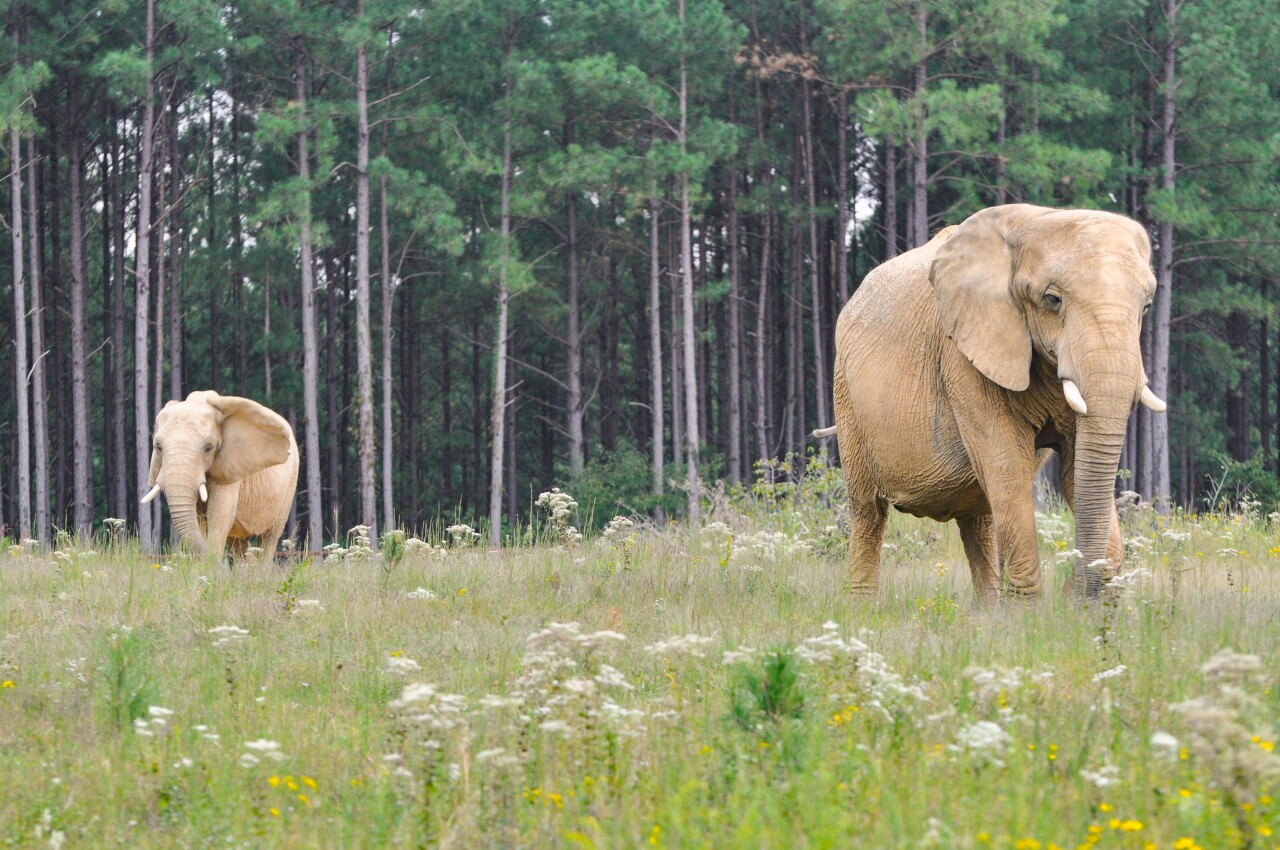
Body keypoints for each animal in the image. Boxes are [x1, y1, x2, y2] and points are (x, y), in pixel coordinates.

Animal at [142, 391, 299, 563]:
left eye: (208, 448)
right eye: (158, 447)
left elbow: (219, 515)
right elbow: (199, 518)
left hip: (290, 483)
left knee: (270, 536)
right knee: (239, 543)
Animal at [834, 204, 1167, 596]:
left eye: (1146, 307)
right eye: (1052, 300)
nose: (1072, 592)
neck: (1036, 219)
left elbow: (1075, 468)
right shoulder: (963, 353)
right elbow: (1006, 466)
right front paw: (1030, 610)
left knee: (978, 517)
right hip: (846, 393)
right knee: (868, 511)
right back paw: (862, 605)